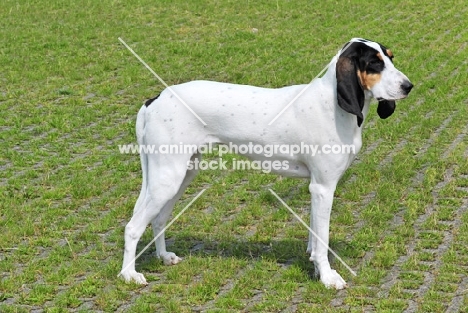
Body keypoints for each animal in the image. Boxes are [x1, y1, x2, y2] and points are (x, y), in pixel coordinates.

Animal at [119, 38, 412, 288]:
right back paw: (129, 274)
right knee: (133, 227)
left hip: (181, 175)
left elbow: (314, 234)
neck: (332, 104)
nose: (408, 86)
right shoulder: (323, 187)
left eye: (390, 58)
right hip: (167, 179)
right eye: (374, 63)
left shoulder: (315, 188)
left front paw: (315, 266)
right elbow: (322, 239)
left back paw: (163, 256)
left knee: (158, 219)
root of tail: (154, 100)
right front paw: (328, 277)